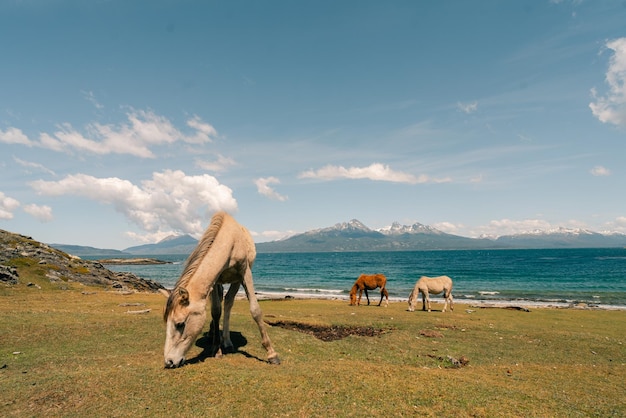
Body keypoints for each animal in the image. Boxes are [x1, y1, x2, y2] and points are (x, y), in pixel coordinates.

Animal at [161, 212, 280, 370]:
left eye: (180, 324)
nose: (169, 361)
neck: (230, 242)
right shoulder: (215, 280)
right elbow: (216, 311)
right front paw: (216, 349)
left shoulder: (245, 273)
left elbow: (255, 310)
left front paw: (272, 354)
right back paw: (214, 334)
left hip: (236, 281)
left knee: (229, 302)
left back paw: (227, 341)